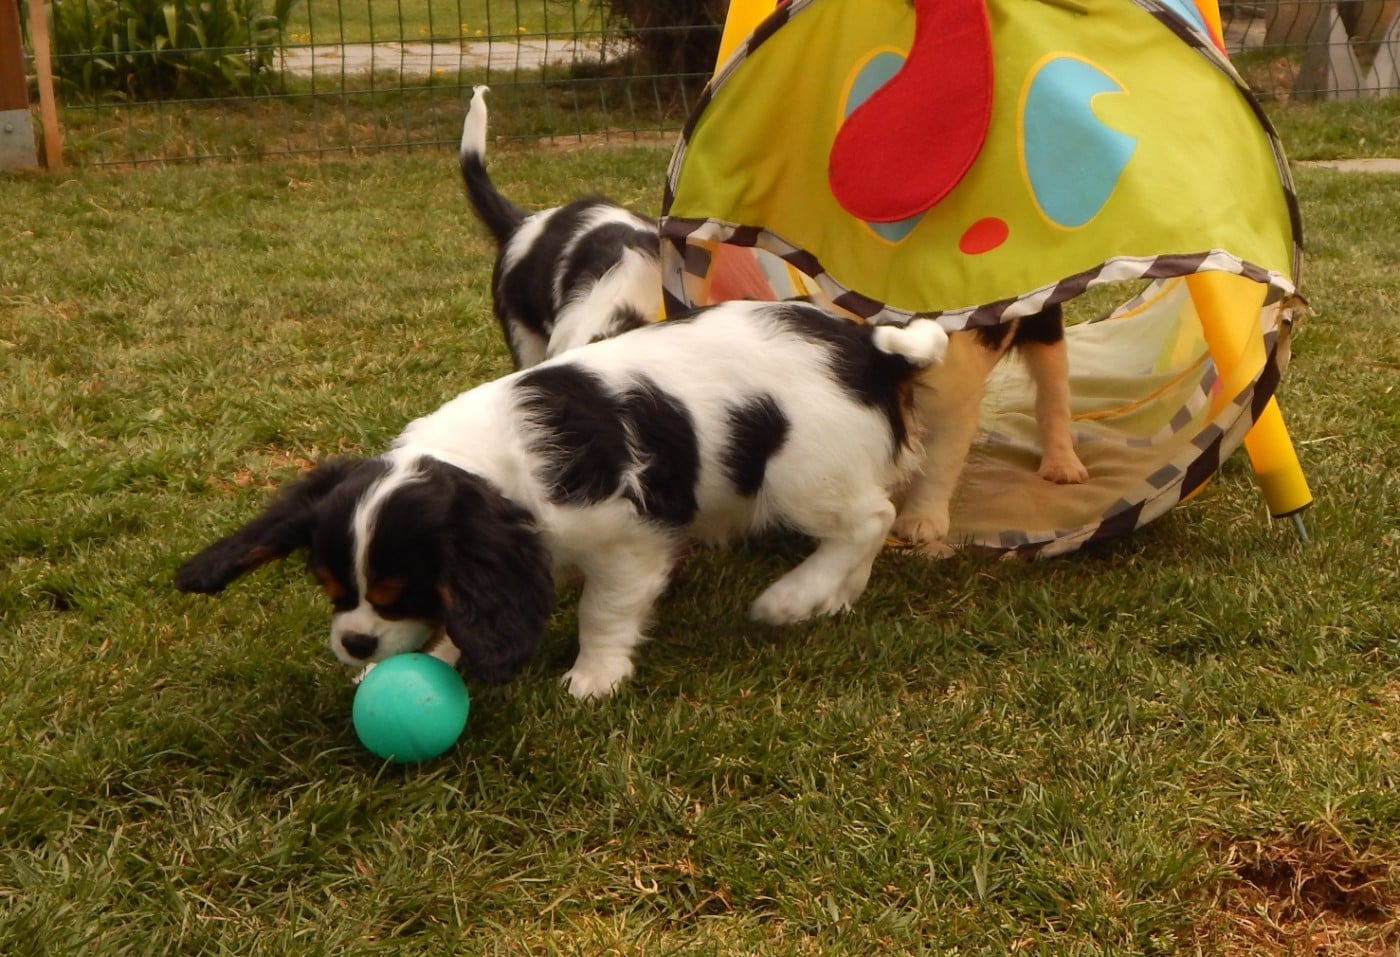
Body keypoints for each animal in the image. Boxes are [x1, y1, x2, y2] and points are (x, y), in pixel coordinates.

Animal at [175, 300, 949, 700]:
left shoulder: (627, 539)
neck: (489, 457)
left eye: (400, 593)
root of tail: (871, 347)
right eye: (332, 590)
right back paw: (834, 597)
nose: (355, 643)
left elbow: (602, 609)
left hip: (801, 471)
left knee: (872, 517)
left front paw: (594, 676)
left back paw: (794, 597)